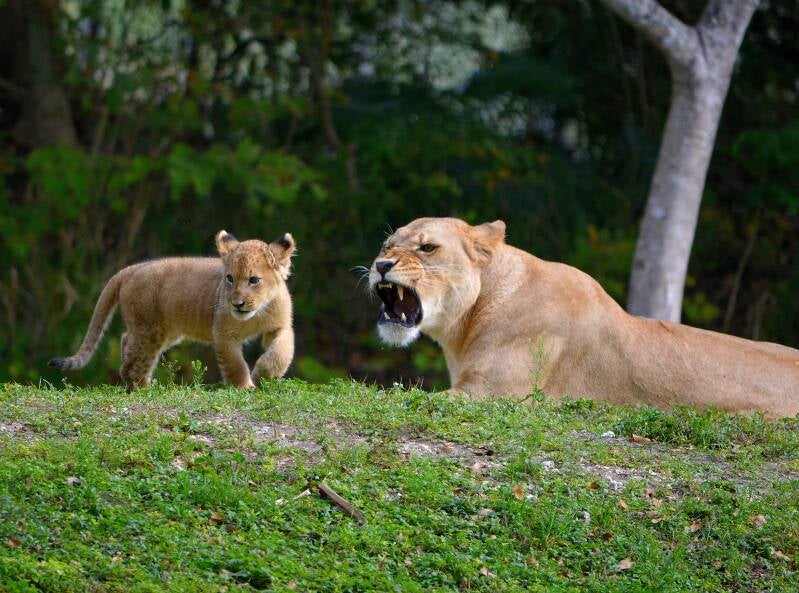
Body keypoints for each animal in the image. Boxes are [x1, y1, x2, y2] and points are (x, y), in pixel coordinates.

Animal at [49, 230, 296, 389]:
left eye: (254, 280)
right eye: (229, 278)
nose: (237, 304)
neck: (256, 314)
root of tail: (130, 269)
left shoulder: (280, 326)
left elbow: (281, 350)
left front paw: (265, 374)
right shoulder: (223, 335)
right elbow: (235, 365)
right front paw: (245, 386)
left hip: (167, 332)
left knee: (126, 340)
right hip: (150, 330)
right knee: (133, 362)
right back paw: (144, 387)